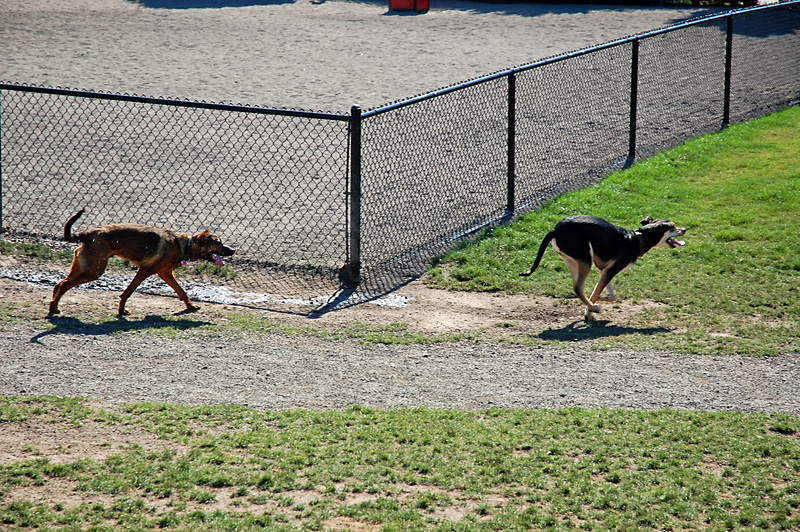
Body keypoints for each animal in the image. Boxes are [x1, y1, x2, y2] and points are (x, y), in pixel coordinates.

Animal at [48, 209, 234, 316]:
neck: (185, 245)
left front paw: (190, 306)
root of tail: (88, 233)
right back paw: (54, 308)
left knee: (60, 284)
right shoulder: (145, 271)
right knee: (64, 284)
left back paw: (53, 306)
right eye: (218, 242)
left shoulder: (166, 273)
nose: (233, 250)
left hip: (84, 266)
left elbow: (181, 291)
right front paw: (122, 310)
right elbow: (128, 291)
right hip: (94, 270)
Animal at [520, 215, 684, 320]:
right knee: (578, 288)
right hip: (585, 261)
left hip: (573, 262)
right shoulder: (610, 271)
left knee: (577, 288)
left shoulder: (605, 271)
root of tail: (556, 229)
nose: (685, 229)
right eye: (672, 227)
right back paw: (594, 307)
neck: (637, 239)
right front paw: (590, 310)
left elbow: (609, 295)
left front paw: (594, 304)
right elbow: (597, 293)